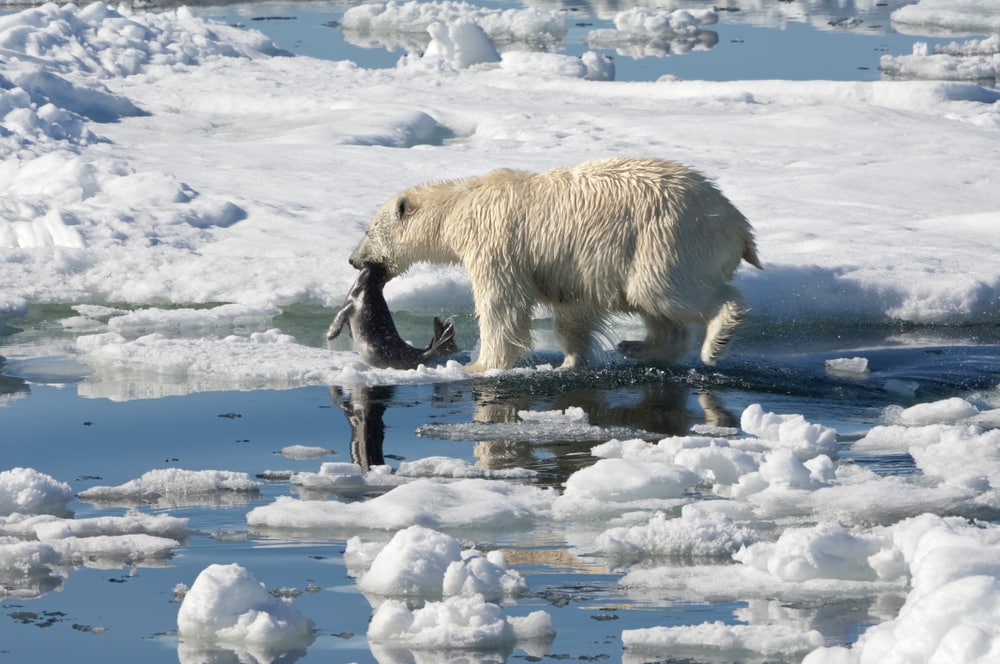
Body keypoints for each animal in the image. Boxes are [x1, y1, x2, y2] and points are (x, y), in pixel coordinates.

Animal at [349, 156, 762, 372]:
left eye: (368, 230)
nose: (353, 259)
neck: (461, 206)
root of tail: (738, 226)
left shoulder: (496, 242)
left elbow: (502, 304)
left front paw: (479, 365)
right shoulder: (573, 267)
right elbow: (574, 309)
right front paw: (570, 361)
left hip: (666, 238)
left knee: (666, 290)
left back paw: (715, 341)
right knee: (654, 304)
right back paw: (637, 347)